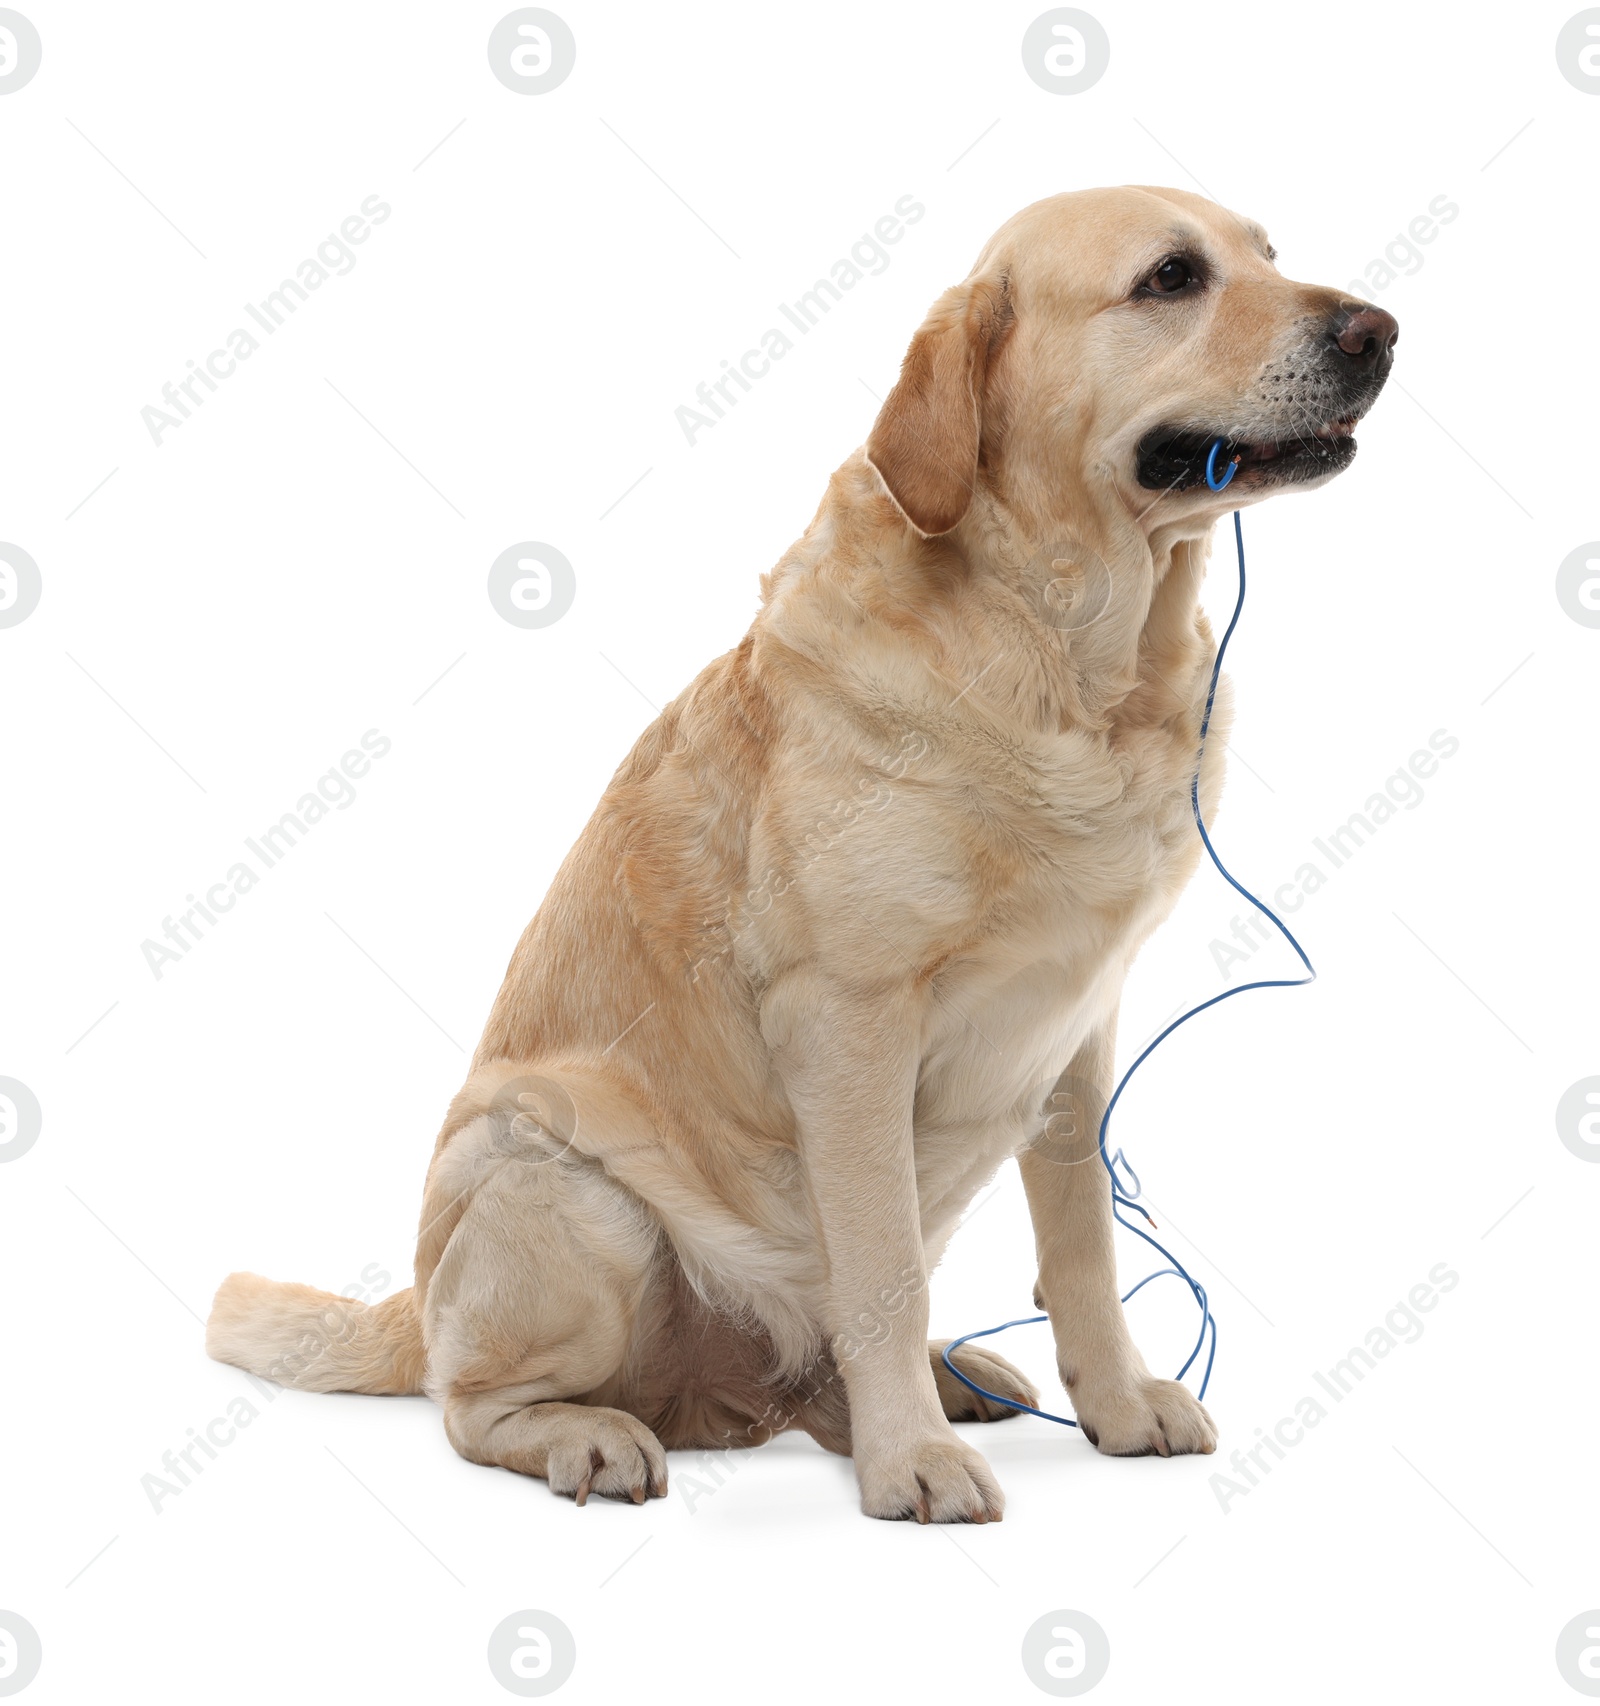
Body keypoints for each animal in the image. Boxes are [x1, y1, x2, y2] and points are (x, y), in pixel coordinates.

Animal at [205, 183, 1391, 1521]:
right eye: (1172, 278)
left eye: (1270, 255)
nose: (1379, 330)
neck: (1074, 656)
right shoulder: (848, 1018)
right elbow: (881, 1268)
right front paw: (910, 1458)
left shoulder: (1078, 1028)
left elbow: (1082, 1242)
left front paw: (1118, 1402)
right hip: (555, 1175)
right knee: (472, 1404)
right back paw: (592, 1433)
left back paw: (943, 1378)